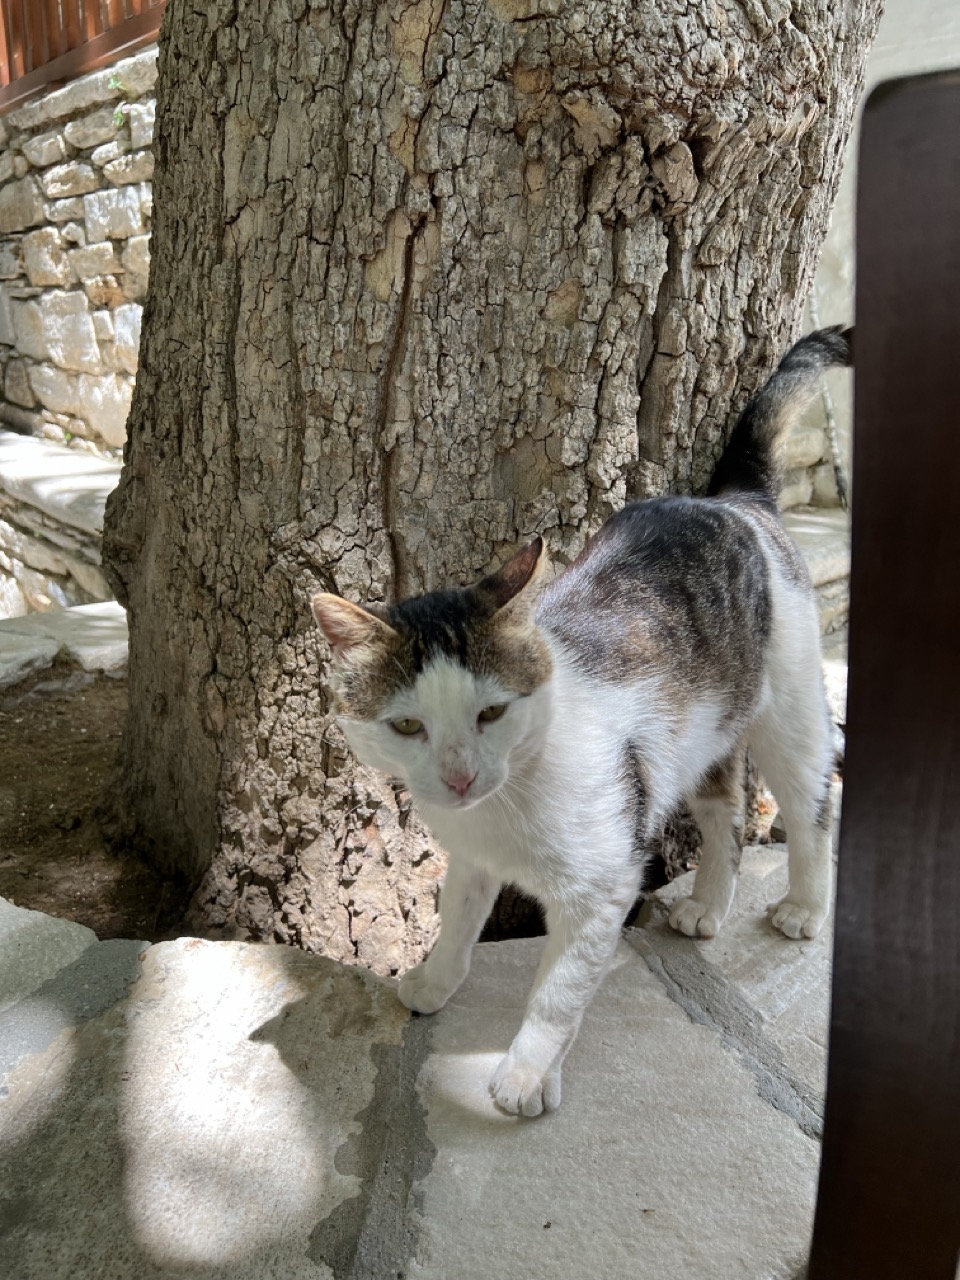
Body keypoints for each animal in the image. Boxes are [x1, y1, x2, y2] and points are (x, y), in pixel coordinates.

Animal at [312, 325, 855, 1116]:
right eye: (407, 726)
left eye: (492, 711)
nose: (461, 776)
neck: (508, 799)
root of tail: (732, 501)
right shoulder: (472, 858)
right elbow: (456, 924)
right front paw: (434, 982)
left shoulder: (604, 887)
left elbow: (558, 992)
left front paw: (525, 1074)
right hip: (701, 734)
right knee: (724, 809)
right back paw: (708, 905)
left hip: (788, 708)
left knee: (811, 801)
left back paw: (805, 906)